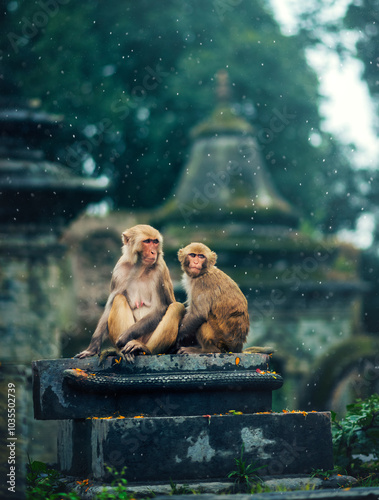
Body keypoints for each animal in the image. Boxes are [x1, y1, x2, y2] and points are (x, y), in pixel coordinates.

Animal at [75, 226, 185, 360]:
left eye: (155, 242)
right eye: (147, 241)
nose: (153, 252)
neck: (140, 267)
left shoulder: (160, 270)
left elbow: (161, 308)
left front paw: (125, 336)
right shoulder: (119, 271)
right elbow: (110, 305)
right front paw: (93, 347)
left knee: (176, 307)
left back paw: (143, 348)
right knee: (119, 298)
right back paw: (124, 352)